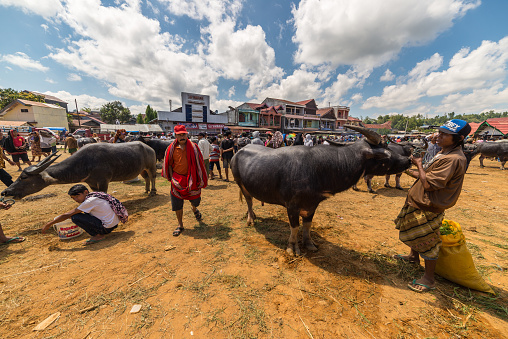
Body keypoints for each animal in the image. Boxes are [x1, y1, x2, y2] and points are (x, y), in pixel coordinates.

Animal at [1, 141, 157, 199]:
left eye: (24, 178)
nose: (6, 191)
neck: (85, 162)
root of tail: (147, 146)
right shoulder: (91, 182)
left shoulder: (104, 181)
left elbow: (103, 193)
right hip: (141, 169)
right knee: (146, 178)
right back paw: (146, 190)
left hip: (151, 165)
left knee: (153, 176)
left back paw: (153, 191)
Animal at [232, 126, 410, 256]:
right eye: (385, 153)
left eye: (387, 146)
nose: (408, 160)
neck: (319, 168)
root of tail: (238, 152)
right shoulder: (292, 206)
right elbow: (294, 227)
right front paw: (292, 247)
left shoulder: (312, 205)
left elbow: (307, 225)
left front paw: (309, 243)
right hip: (240, 184)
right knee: (249, 201)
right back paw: (250, 219)